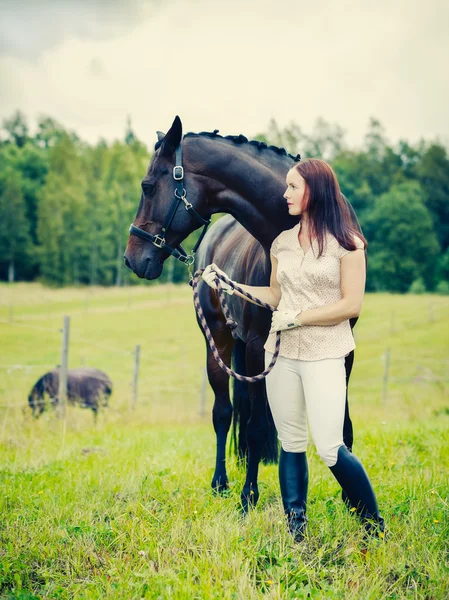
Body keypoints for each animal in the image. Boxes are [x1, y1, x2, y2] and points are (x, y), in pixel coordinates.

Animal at [124, 116, 362, 510]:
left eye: (147, 186)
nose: (132, 258)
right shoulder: (253, 348)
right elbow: (252, 427)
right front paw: (248, 496)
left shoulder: (343, 350)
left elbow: (342, 426)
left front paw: (350, 500)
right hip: (219, 344)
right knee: (225, 413)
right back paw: (221, 482)